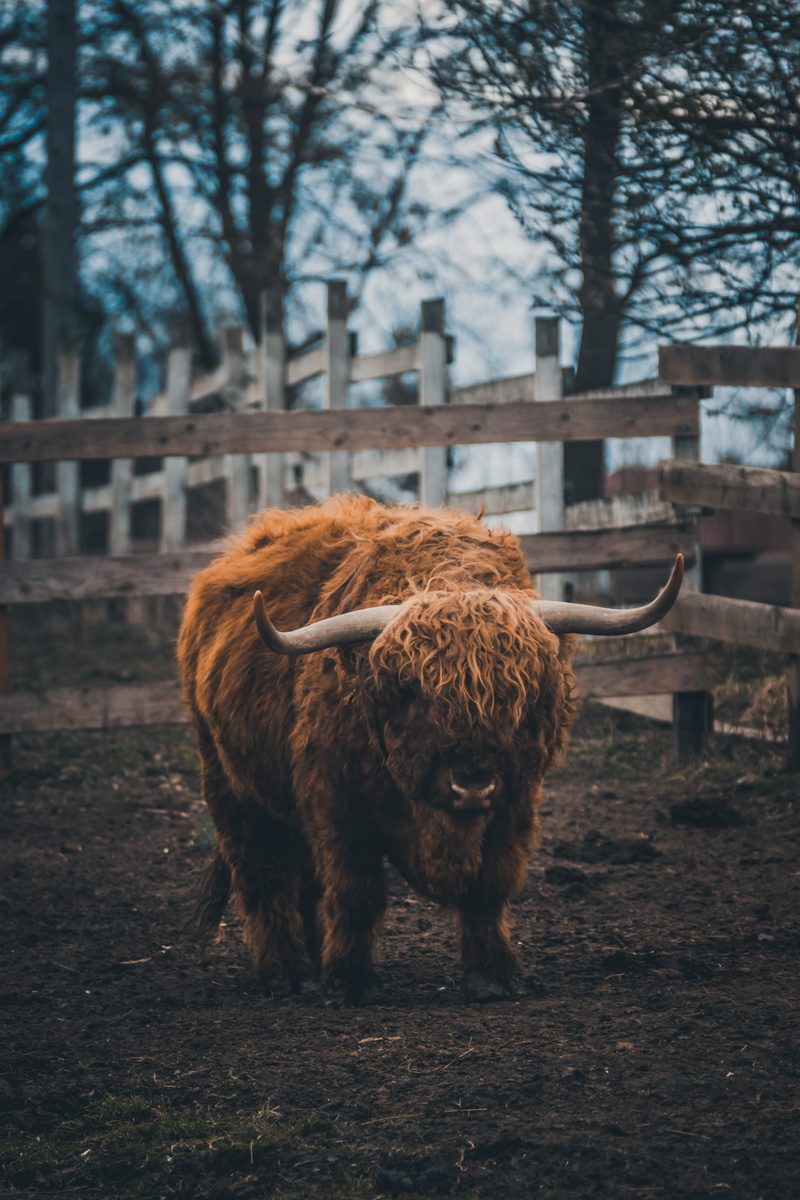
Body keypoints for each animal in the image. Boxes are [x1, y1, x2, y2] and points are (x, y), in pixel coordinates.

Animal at [178, 495, 682, 1004]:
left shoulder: (515, 802)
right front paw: (350, 981)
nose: (472, 785)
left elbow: (489, 887)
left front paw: (492, 975)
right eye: (410, 690)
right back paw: (288, 973)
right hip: (229, 786)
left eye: (521, 692)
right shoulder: (337, 800)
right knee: (264, 874)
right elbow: (356, 890)